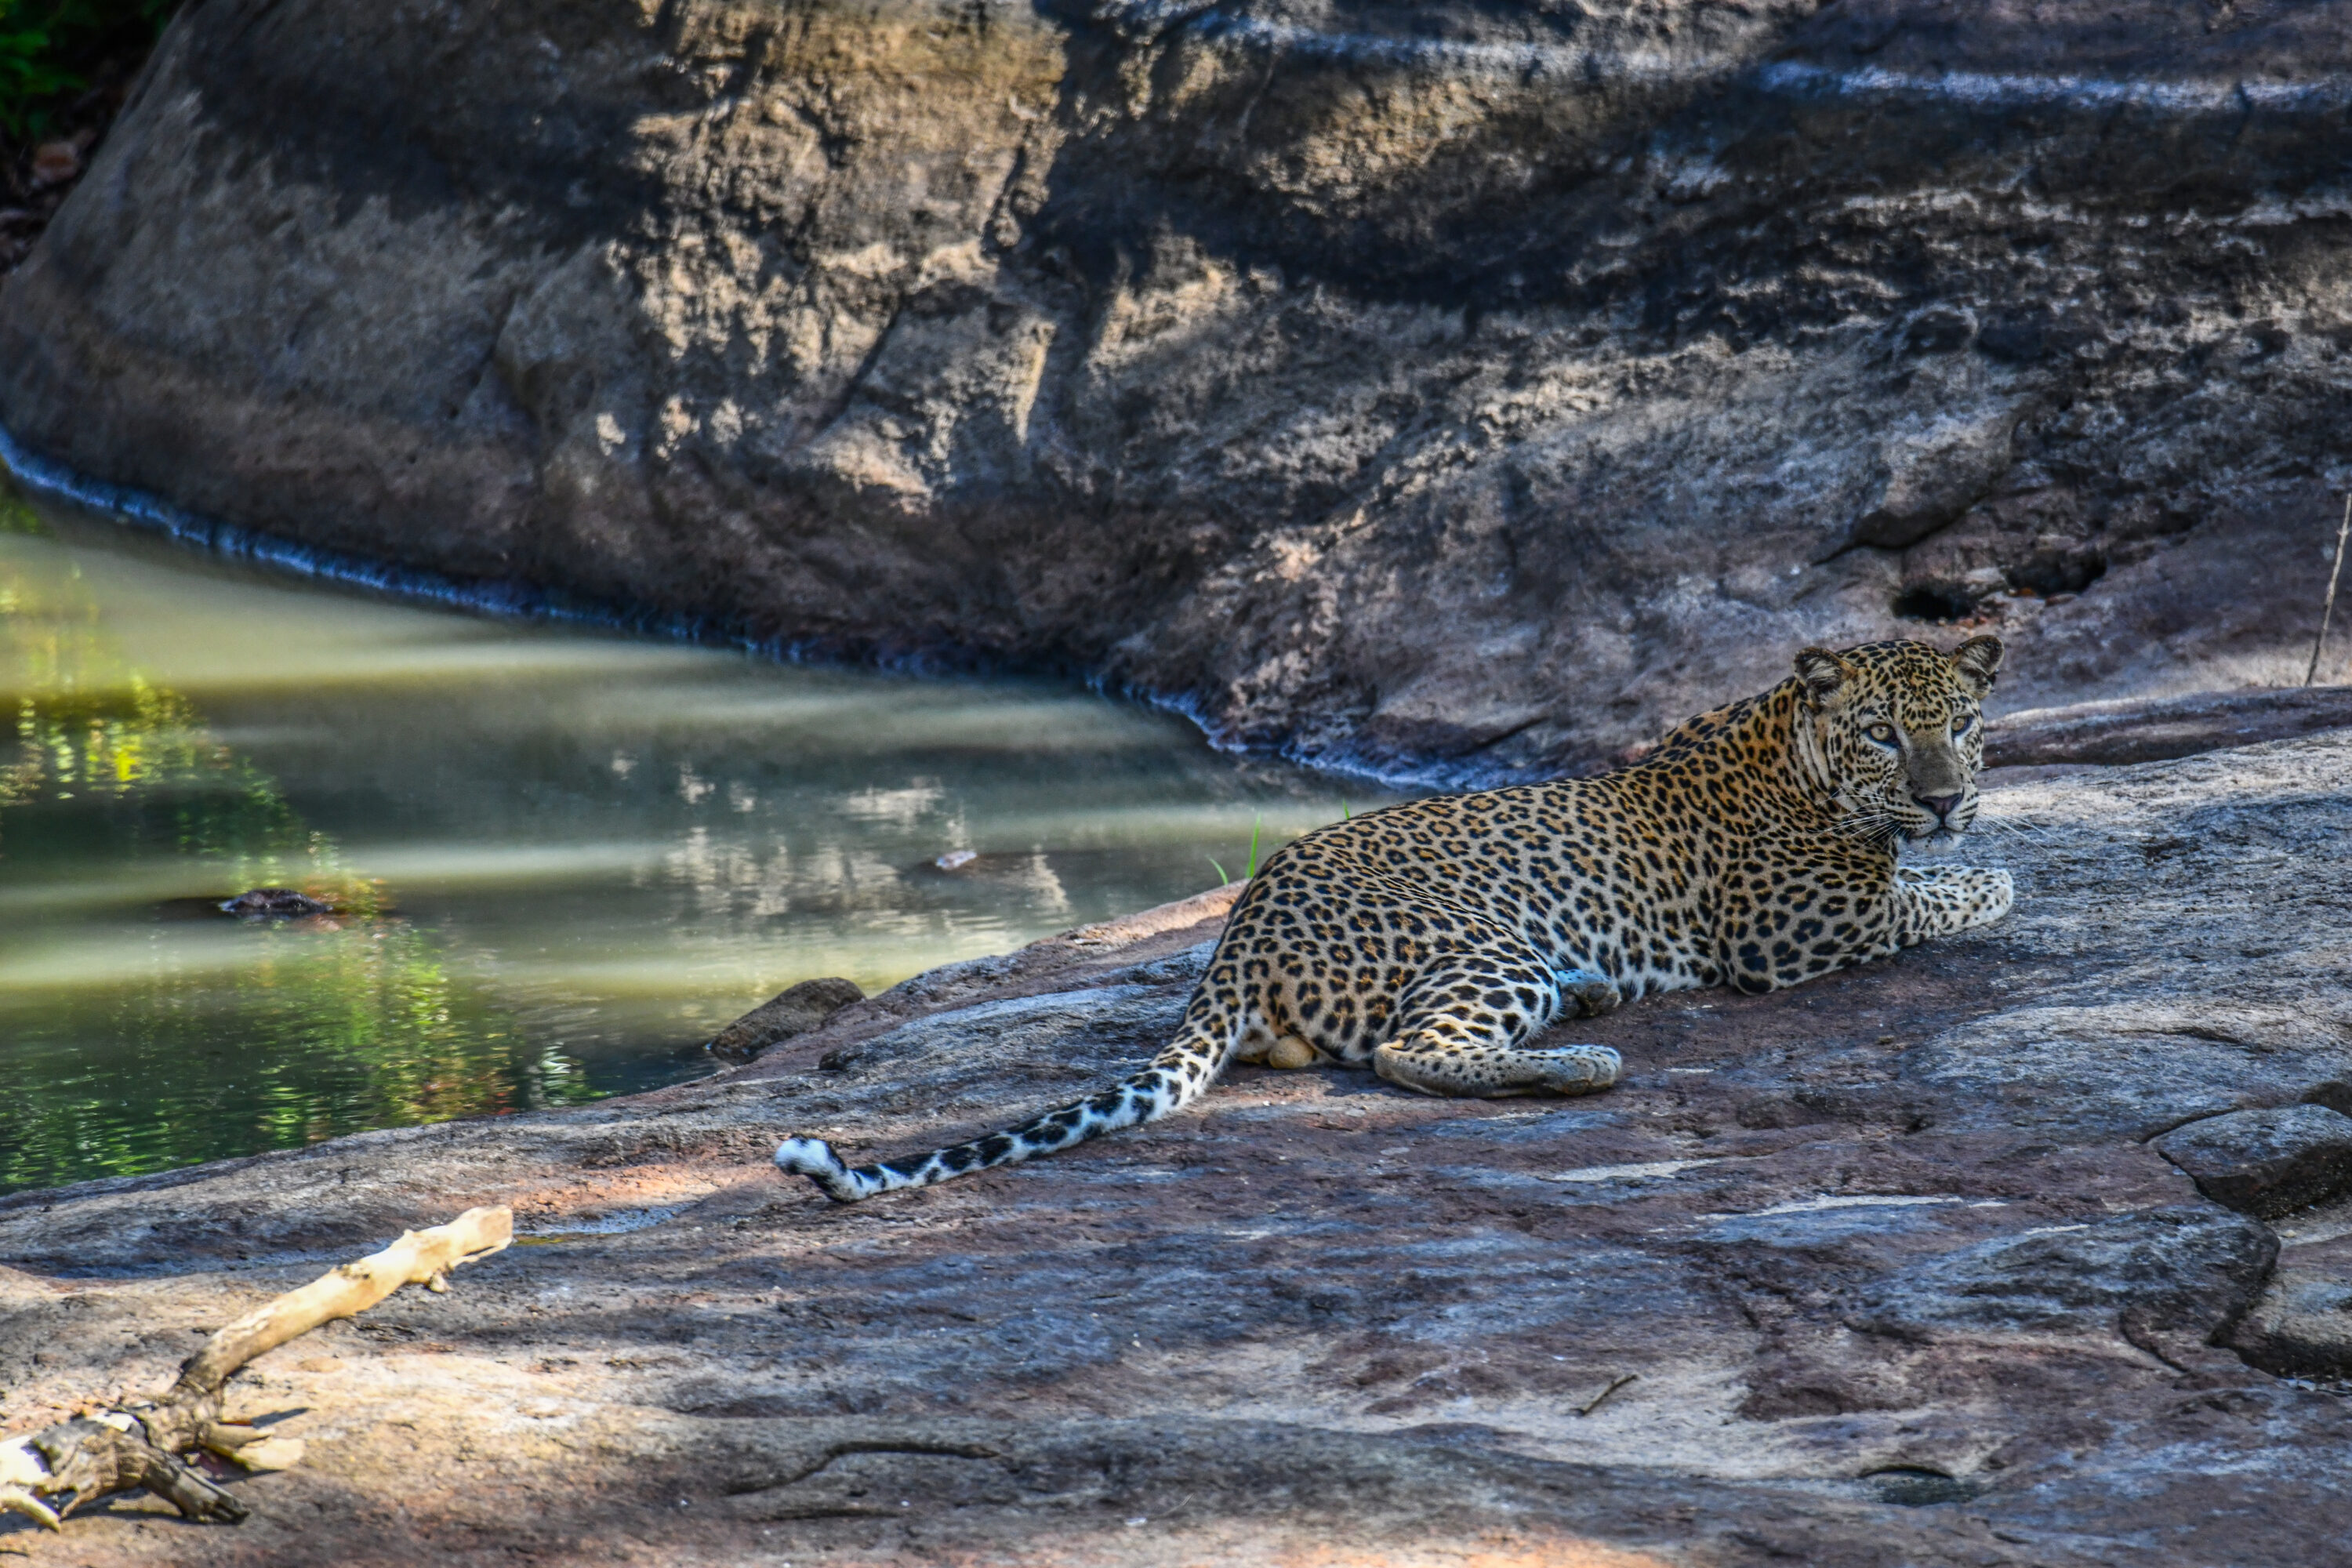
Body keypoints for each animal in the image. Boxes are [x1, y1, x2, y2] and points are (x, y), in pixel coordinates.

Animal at [778, 635, 2012, 1203]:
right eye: (1884, 735)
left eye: (1958, 722)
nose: (1946, 797)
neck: (1791, 742)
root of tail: (1238, 933)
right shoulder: (1797, 923)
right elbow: (1947, 891)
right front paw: (1990, 871)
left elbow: (1936, 879)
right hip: (1487, 947)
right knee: (1410, 1056)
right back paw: (1579, 1062)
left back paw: (1591, 1001)